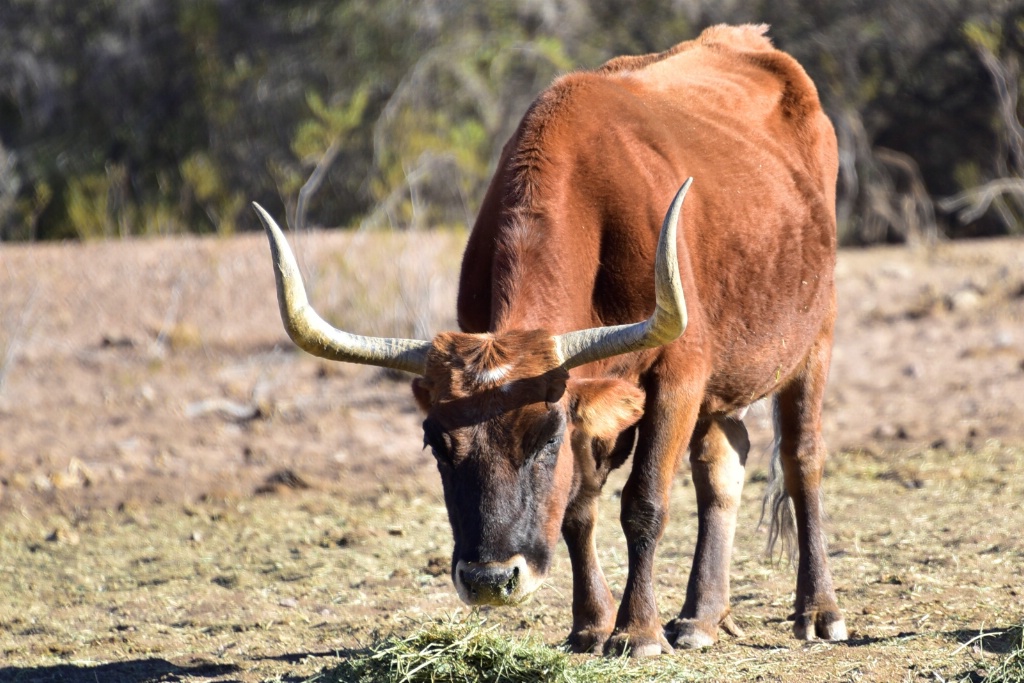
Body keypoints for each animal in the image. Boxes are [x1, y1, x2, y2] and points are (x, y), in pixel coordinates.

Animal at [253, 25, 847, 655]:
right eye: (435, 443)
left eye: (545, 437)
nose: (490, 580)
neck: (594, 196)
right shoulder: (593, 401)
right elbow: (576, 511)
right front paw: (591, 624)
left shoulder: (677, 376)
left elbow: (644, 502)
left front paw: (636, 630)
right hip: (726, 384)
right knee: (722, 466)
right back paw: (701, 617)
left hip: (815, 338)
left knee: (801, 460)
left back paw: (818, 610)